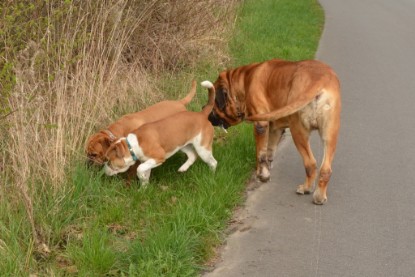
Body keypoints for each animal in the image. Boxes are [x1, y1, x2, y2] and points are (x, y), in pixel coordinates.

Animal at [207, 59, 342, 204]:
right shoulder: (275, 129)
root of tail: (319, 80)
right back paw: (320, 195)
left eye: (212, 103)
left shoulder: (261, 125)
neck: (243, 81)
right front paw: (266, 170)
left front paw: (262, 175)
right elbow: (269, 151)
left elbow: (260, 154)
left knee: (310, 163)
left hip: (298, 130)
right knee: (326, 169)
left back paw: (306, 188)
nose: (206, 113)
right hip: (330, 134)